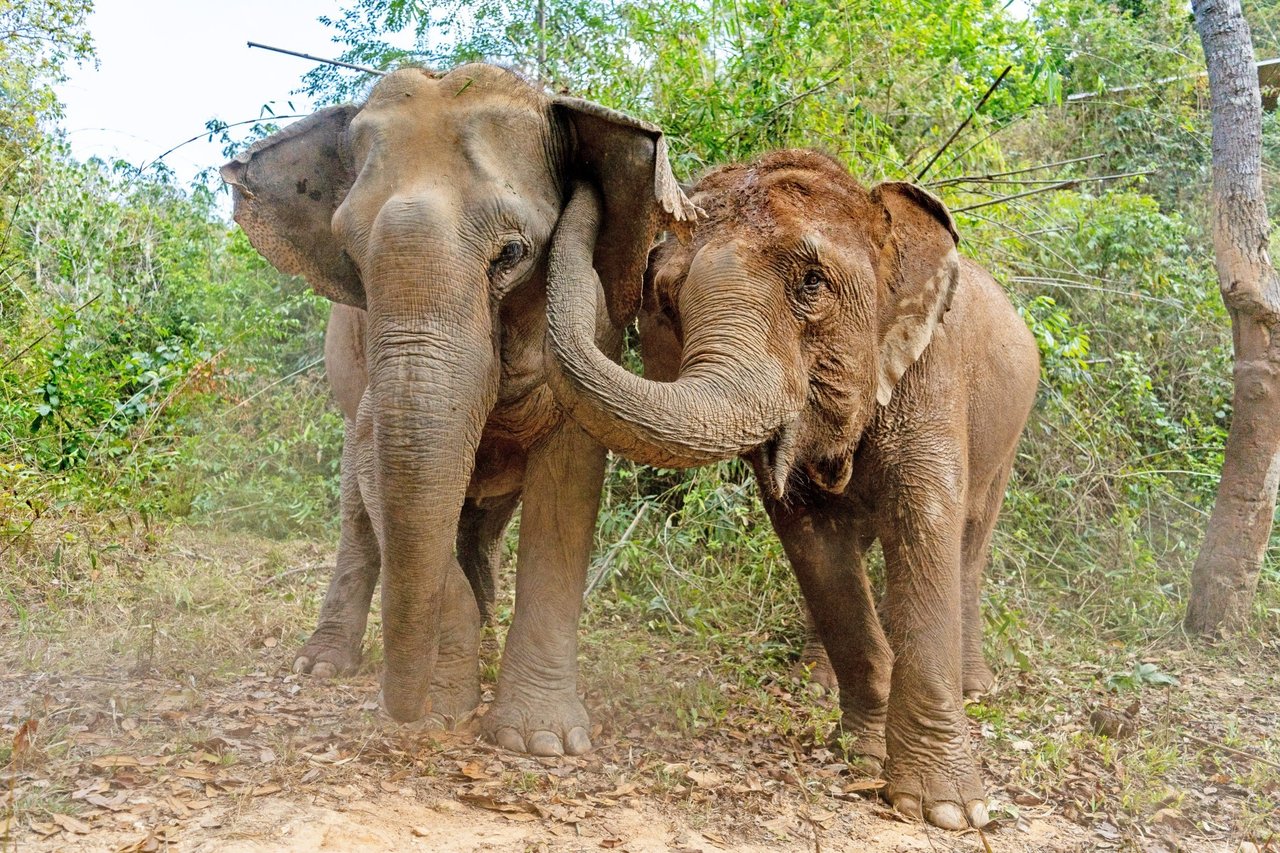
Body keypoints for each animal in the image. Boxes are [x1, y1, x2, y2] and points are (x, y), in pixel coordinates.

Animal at [222, 68, 701, 758]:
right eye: (351, 259)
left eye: (513, 254)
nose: (404, 714)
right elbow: (379, 471)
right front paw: (451, 707)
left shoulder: (598, 328)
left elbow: (568, 485)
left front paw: (540, 742)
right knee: (359, 509)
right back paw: (321, 666)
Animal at [540, 149, 1039, 824]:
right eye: (666, 299)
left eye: (813, 283)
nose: (584, 175)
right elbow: (812, 543)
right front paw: (863, 754)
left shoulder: (933, 377)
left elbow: (925, 522)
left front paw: (947, 812)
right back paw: (816, 679)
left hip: (1011, 429)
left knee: (971, 542)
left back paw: (976, 686)